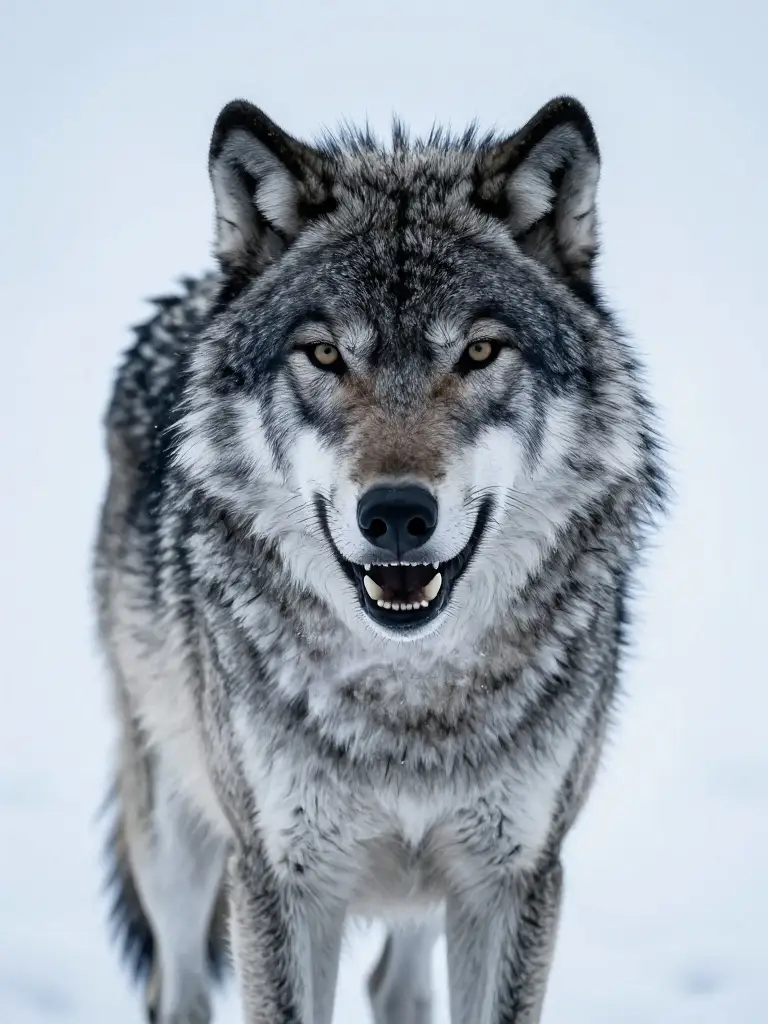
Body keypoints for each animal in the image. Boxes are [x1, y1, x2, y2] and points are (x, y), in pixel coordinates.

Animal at [94, 94, 666, 1024]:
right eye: (326, 354)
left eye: (478, 352)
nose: (396, 514)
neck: (410, 701)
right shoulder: (282, 878)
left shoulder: (513, 878)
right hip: (177, 834)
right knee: (175, 986)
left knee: (395, 988)